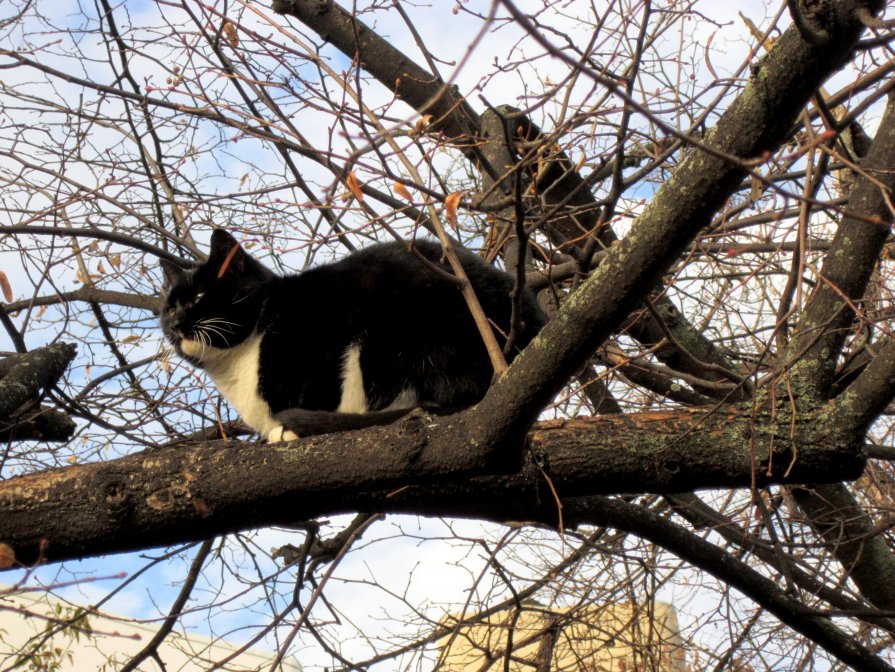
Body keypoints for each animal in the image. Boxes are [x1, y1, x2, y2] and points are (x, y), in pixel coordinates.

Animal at [159, 228, 544, 444]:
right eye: (168, 306)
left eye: (198, 296)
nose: (174, 322)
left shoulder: (319, 337)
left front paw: (293, 428)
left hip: (398, 331)